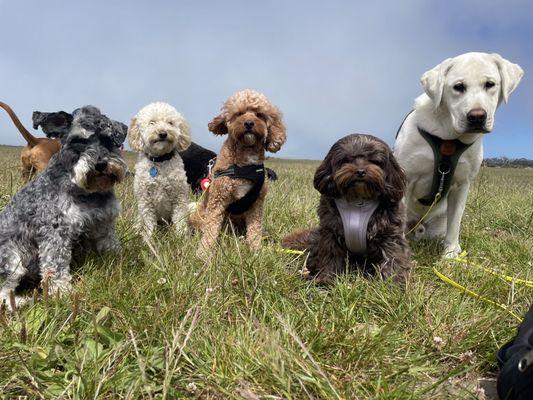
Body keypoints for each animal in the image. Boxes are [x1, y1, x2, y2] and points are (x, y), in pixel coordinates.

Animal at [128, 103, 192, 239]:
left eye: (170, 123)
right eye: (152, 122)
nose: (163, 133)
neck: (159, 161)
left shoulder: (179, 198)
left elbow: (180, 220)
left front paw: (182, 237)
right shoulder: (145, 200)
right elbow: (148, 224)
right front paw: (148, 239)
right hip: (139, 217)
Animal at [191, 89, 286, 255]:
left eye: (259, 114)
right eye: (239, 113)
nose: (248, 123)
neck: (245, 164)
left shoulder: (256, 204)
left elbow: (255, 230)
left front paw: (255, 250)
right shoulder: (217, 201)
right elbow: (210, 229)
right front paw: (204, 252)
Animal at [282, 134, 412, 284]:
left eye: (374, 160)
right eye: (346, 160)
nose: (360, 171)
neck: (358, 199)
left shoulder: (389, 234)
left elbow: (392, 257)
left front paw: (393, 282)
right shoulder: (331, 233)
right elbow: (330, 257)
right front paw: (326, 279)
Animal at [394, 52, 524, 256]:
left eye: (490, 84)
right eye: (458, 87)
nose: (477, 116)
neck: (448, 138)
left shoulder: (462, 185)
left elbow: (455, 222)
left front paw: (451, 253)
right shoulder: (405, 180)